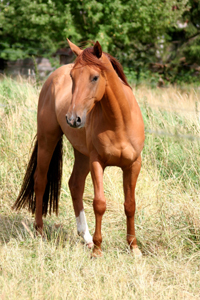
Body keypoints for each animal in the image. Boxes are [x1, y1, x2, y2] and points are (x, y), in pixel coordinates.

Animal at [13, 38, 145, 256]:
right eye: (73, 77)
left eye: (94, 77)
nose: (73, 119)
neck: (119, 121)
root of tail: (52, 77)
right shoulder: (97, 162)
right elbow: (99, 203)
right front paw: (98, 250)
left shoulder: (133, 165)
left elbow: (130, 204)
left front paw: (133, 247)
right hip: (48, 140)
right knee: (40, 181)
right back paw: (40, 231)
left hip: (82, 154)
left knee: (75, 185)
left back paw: (86, 237)